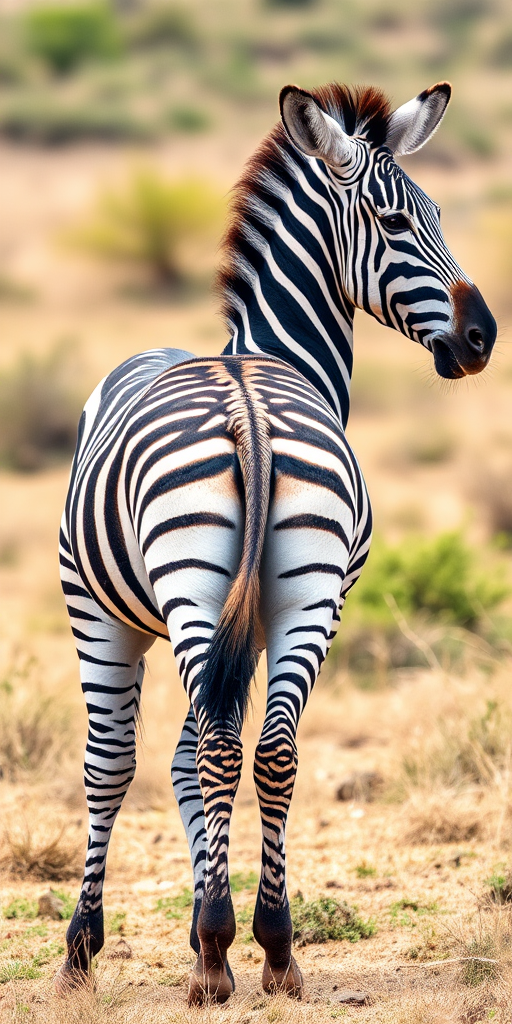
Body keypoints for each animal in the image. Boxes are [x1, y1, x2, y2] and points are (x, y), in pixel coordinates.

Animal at [55, 80, 496, 1003]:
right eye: (397, 221)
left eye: (438, 213)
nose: (483, 338)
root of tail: (247, 414)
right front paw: (198, 928)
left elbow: (150, 763)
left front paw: (184, 932)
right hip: (249, 602)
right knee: (223, 752)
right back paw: (245, 945)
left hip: (199, 600)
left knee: (194, 753)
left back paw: (215, 946)